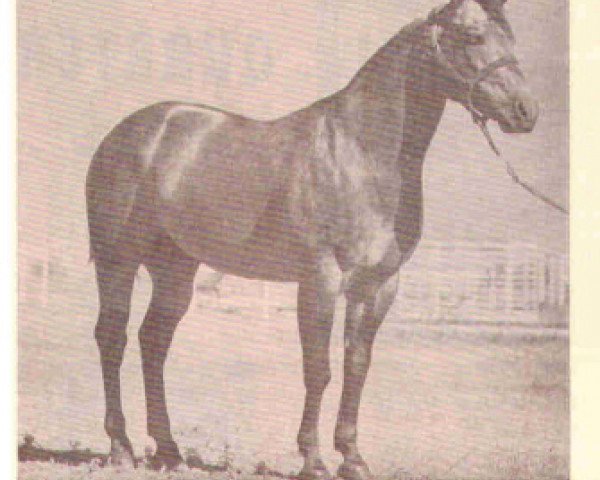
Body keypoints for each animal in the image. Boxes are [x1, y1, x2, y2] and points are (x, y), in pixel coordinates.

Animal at [86, 1, 540, 478]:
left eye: (511, 38)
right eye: (473, 36)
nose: (526, 111)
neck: (361, 153)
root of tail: (131, 130)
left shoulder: (378, 285)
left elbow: (356, 366)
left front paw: (353, 458)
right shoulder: (321, 278)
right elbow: (318, 368)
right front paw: (314, 459)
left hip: (174, 268)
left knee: (154, 341)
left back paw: (169, 452)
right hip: (117, 260)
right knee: (112, 337)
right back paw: (120, 447)